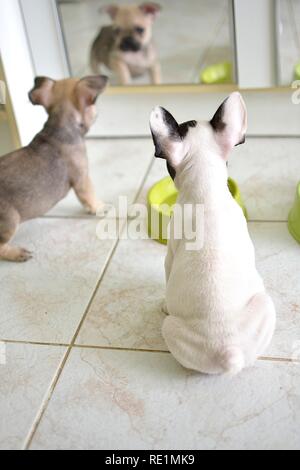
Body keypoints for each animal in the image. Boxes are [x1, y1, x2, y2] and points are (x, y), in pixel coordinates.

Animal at [0, 75, 108, 262]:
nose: (98, 112)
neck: (59, 125)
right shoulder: (82, 180)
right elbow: (90, 197)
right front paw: (98, 207)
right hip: (10, 221)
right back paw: (16, 253)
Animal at [150, 93, 276, 376]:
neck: (204, 186)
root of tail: (229, 351)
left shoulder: (169, 254)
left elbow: (167, 271)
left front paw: (164, 303)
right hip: (265, 305)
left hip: (170, 327)